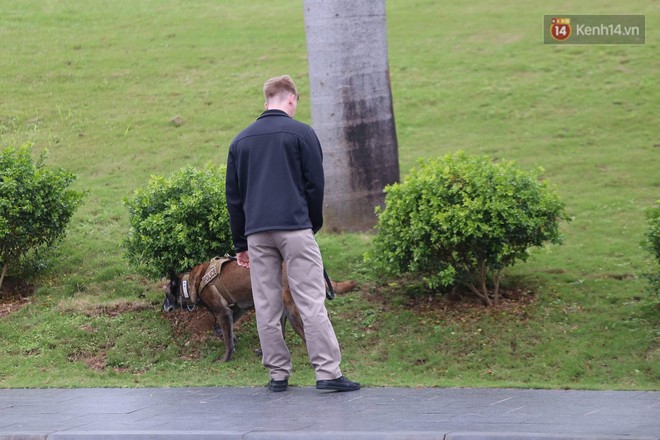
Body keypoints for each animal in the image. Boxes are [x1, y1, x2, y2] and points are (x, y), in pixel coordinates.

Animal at [163, 256, 356, 362]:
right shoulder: (237, 309)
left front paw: (225, 358)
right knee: (281, 334)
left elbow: (226, 341)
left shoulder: (223, 312)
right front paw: (233, 338)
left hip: (294, 312)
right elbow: (221, 331)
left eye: (166, 294)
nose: (164, 307)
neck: (192, 282)